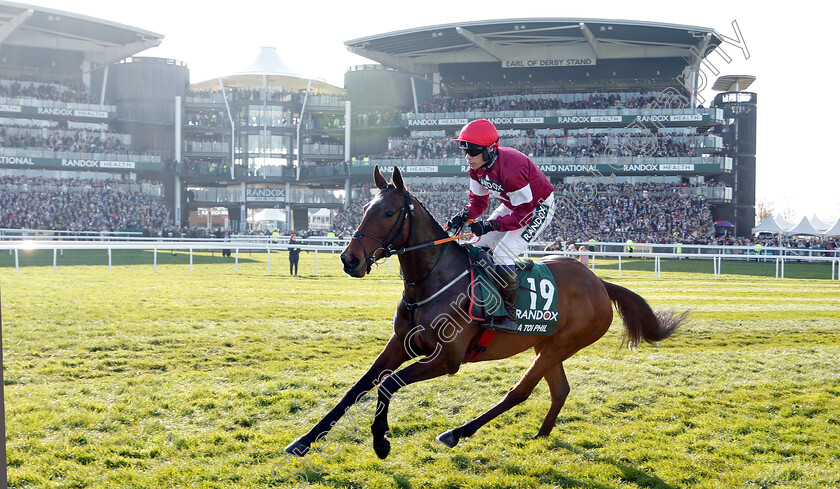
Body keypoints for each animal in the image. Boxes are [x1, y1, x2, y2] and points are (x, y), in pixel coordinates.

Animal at [286, 166, 684, 460]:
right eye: (364, 210)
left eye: (387, 212)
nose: (349, 259)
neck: (433, 280)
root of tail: (599, 282)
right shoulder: (400, 343)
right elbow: (359, 387)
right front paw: (304, 441)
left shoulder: (447, 358)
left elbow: (388, 384)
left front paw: (381, 441)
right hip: (546, 344)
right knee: (559, 390)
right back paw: (541, 435)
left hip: (563, 343)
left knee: (519, 392)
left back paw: (457, 433)